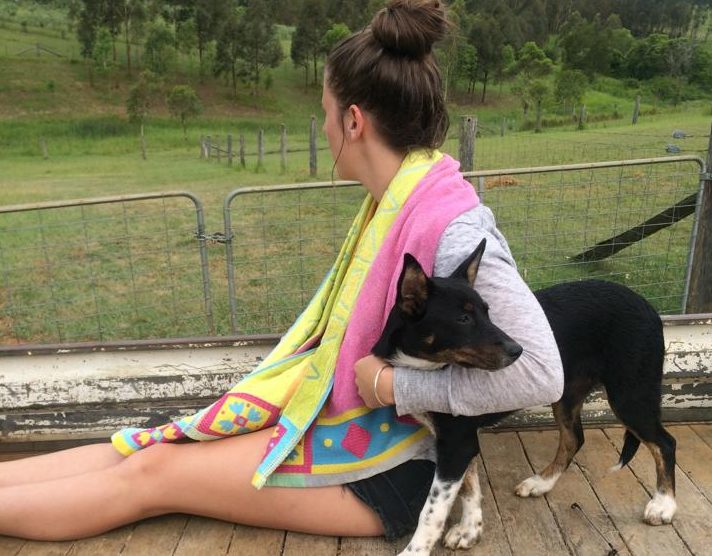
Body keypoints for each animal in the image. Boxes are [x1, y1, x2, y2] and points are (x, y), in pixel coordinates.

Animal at [372, 240, 680, 556]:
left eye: (488, 312)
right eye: (464, 318)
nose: (517, 350)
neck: (425, 367)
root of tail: (648, 306)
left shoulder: (456, 443)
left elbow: (433, 509)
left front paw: (416, 550)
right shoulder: (459, 441)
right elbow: (468, 485)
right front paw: (470, 529)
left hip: (630, 394)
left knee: (665, 443)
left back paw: (663, 505)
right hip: (568, 394)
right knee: (574, 439)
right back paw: (541, 483)